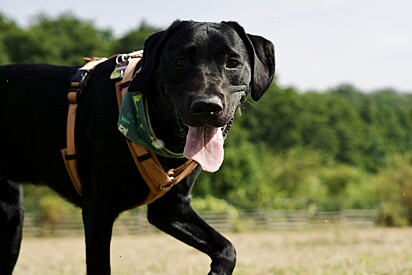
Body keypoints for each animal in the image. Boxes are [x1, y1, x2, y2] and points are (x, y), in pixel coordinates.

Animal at [0, 20, 276, 274]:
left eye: (232, 62)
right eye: (180, 61)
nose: (206, 106)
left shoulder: (171, 209)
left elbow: (227, 248)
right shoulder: (98, 210)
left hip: (12, 221)